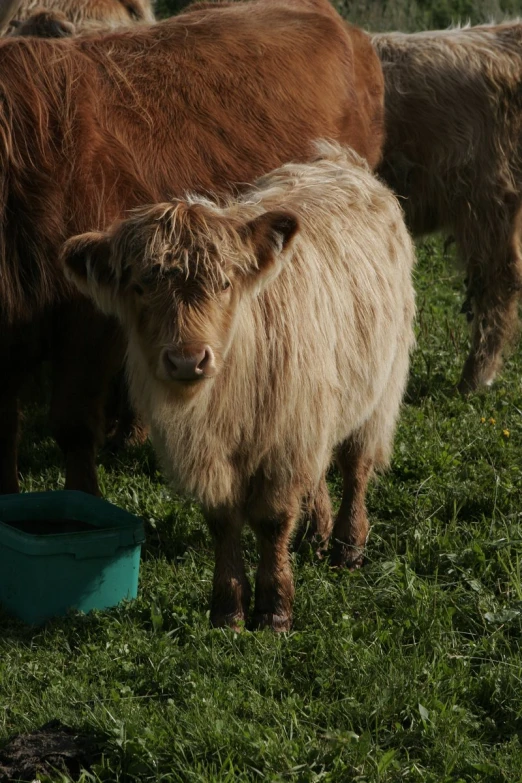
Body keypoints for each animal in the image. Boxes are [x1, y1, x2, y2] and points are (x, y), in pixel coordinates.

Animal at [61, 144, 414, 632]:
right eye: (140, 287)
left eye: (224, 282)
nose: (187, 359)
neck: (221, 406)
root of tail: (340, 161)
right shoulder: (226, 451)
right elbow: (223, 522)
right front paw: (228, 610)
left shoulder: (284, 444)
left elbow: (272, 521)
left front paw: (274, 609)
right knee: (319, 471)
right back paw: (316, 534)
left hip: (380, 389)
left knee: (355, 465)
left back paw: (347, 546)